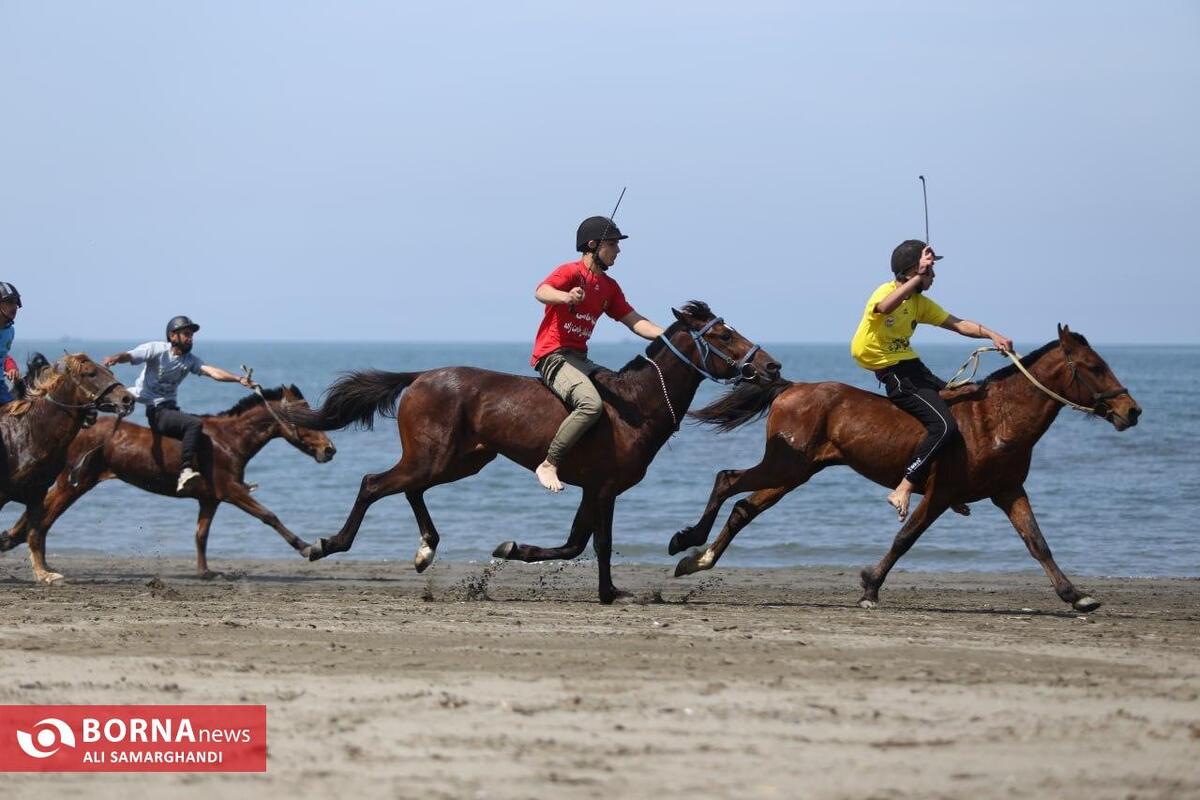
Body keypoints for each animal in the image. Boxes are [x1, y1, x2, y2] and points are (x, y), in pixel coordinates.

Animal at [0, 355, 136, 582]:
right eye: (90, 373)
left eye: (110, 372)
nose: (127, 399)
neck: (30, 432)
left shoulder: (37, 493)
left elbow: (35, 534)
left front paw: (45, 574)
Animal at [0, 383, 336, 582]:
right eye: (306, 416)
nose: (329, 449)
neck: (229, 441)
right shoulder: (231, 491)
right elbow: (269, 516)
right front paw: (309, 548)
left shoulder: (210, 499)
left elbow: (201, 535)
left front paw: (205, 571)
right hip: (74, 484)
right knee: (43, 520)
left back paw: (10, 540)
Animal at [283, 303, 787, 604]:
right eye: (724, 336)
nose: (771, 366)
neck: (634, 405)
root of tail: (421, 376)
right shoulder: (605, 489)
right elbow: (597, 543)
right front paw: (609, 592)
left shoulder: (593, 489)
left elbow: (575, 543)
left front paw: (514, 549)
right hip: (434, 458)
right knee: (373, 484)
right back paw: (328, 544)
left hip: (460, 461)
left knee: (410, 490)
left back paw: (425, 549)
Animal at [672, 326, 1137, 614]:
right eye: (1095, 367)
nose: (1132, 411)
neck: (995, 420)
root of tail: (791, 388)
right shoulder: (941, 493)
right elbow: (905, 538)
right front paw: (869, 586)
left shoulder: (1009, 492)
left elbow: (1038, 543)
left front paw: (1076, 596)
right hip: (784, 465)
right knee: (727, 480)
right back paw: (686, 542)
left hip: (793, 472)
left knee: (742, 507)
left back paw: (698, 559)